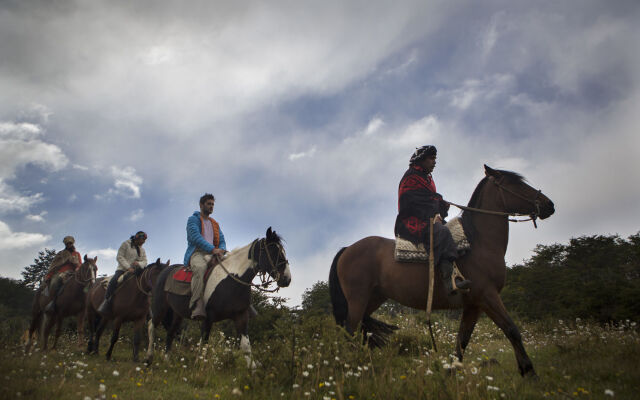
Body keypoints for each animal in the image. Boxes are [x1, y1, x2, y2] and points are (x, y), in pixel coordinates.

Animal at [145, 227, 290, 368]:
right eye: (274, 251)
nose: (287, 279)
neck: (231, 281)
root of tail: (164, 272)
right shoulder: (207, 318)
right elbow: (203, 344)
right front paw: (198, 367)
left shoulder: (241, 316)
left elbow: (245, 345)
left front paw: (252, 369)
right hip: (160, 308)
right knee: (151, 326)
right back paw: (148, 359)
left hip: (177, 314)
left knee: (170, 332)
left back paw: (166, 361)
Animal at [330, 164, 556, 376]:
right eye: (517, 184)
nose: (549, 205)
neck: (479, 242)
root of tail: (347, 249)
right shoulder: (488, 296)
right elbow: (512, 330)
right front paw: (529, 372)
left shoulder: (473, 305)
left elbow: (462, 341)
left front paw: (450, 373)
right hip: (358, 298)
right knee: (350, 332)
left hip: (373, 298)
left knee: (360, 331)